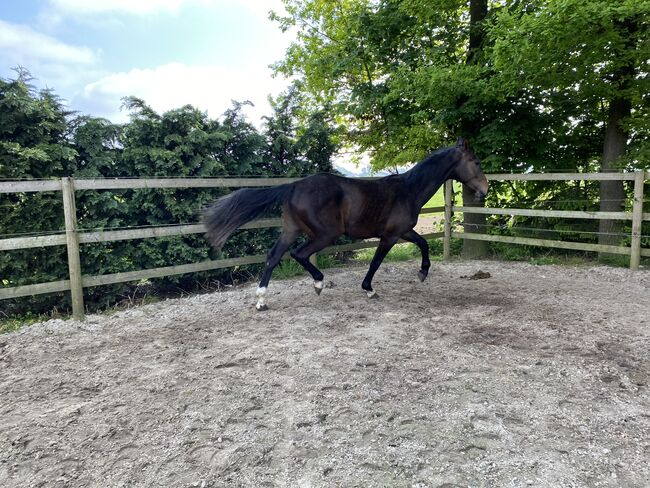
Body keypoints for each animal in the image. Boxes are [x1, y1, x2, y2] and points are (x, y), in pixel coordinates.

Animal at [202, 139, 486, 310]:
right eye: (476, 162)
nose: (484, 189)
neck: (408, 190)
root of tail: (294, 186)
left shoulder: (403, 232)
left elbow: (424, 243)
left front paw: (423, 272)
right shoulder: (391, 236)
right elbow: (376, 262)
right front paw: (369, 290)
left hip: (291, 230)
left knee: (273, 256)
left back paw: (261, 300)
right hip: (325, 234)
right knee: (299, 254)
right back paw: (318, 284)